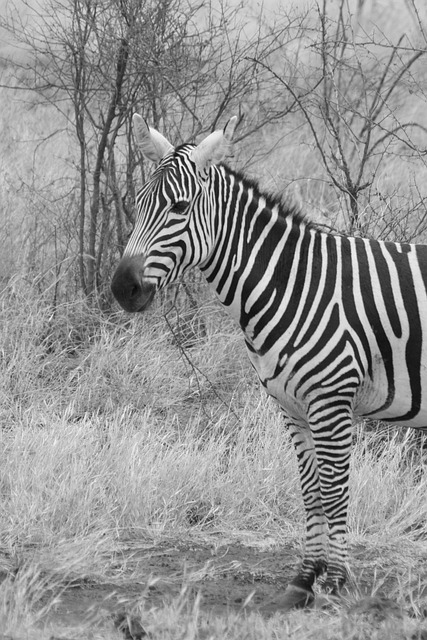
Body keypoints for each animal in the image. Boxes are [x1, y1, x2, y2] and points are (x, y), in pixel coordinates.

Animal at [112, 115, 427, 608]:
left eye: (179, 208)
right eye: (139, 203)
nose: (121, 289)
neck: (293, 283)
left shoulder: (331, 400)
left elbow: (334, 489)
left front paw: (335, 584)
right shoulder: (291, 405)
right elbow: (311, 490)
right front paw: (303, 580)